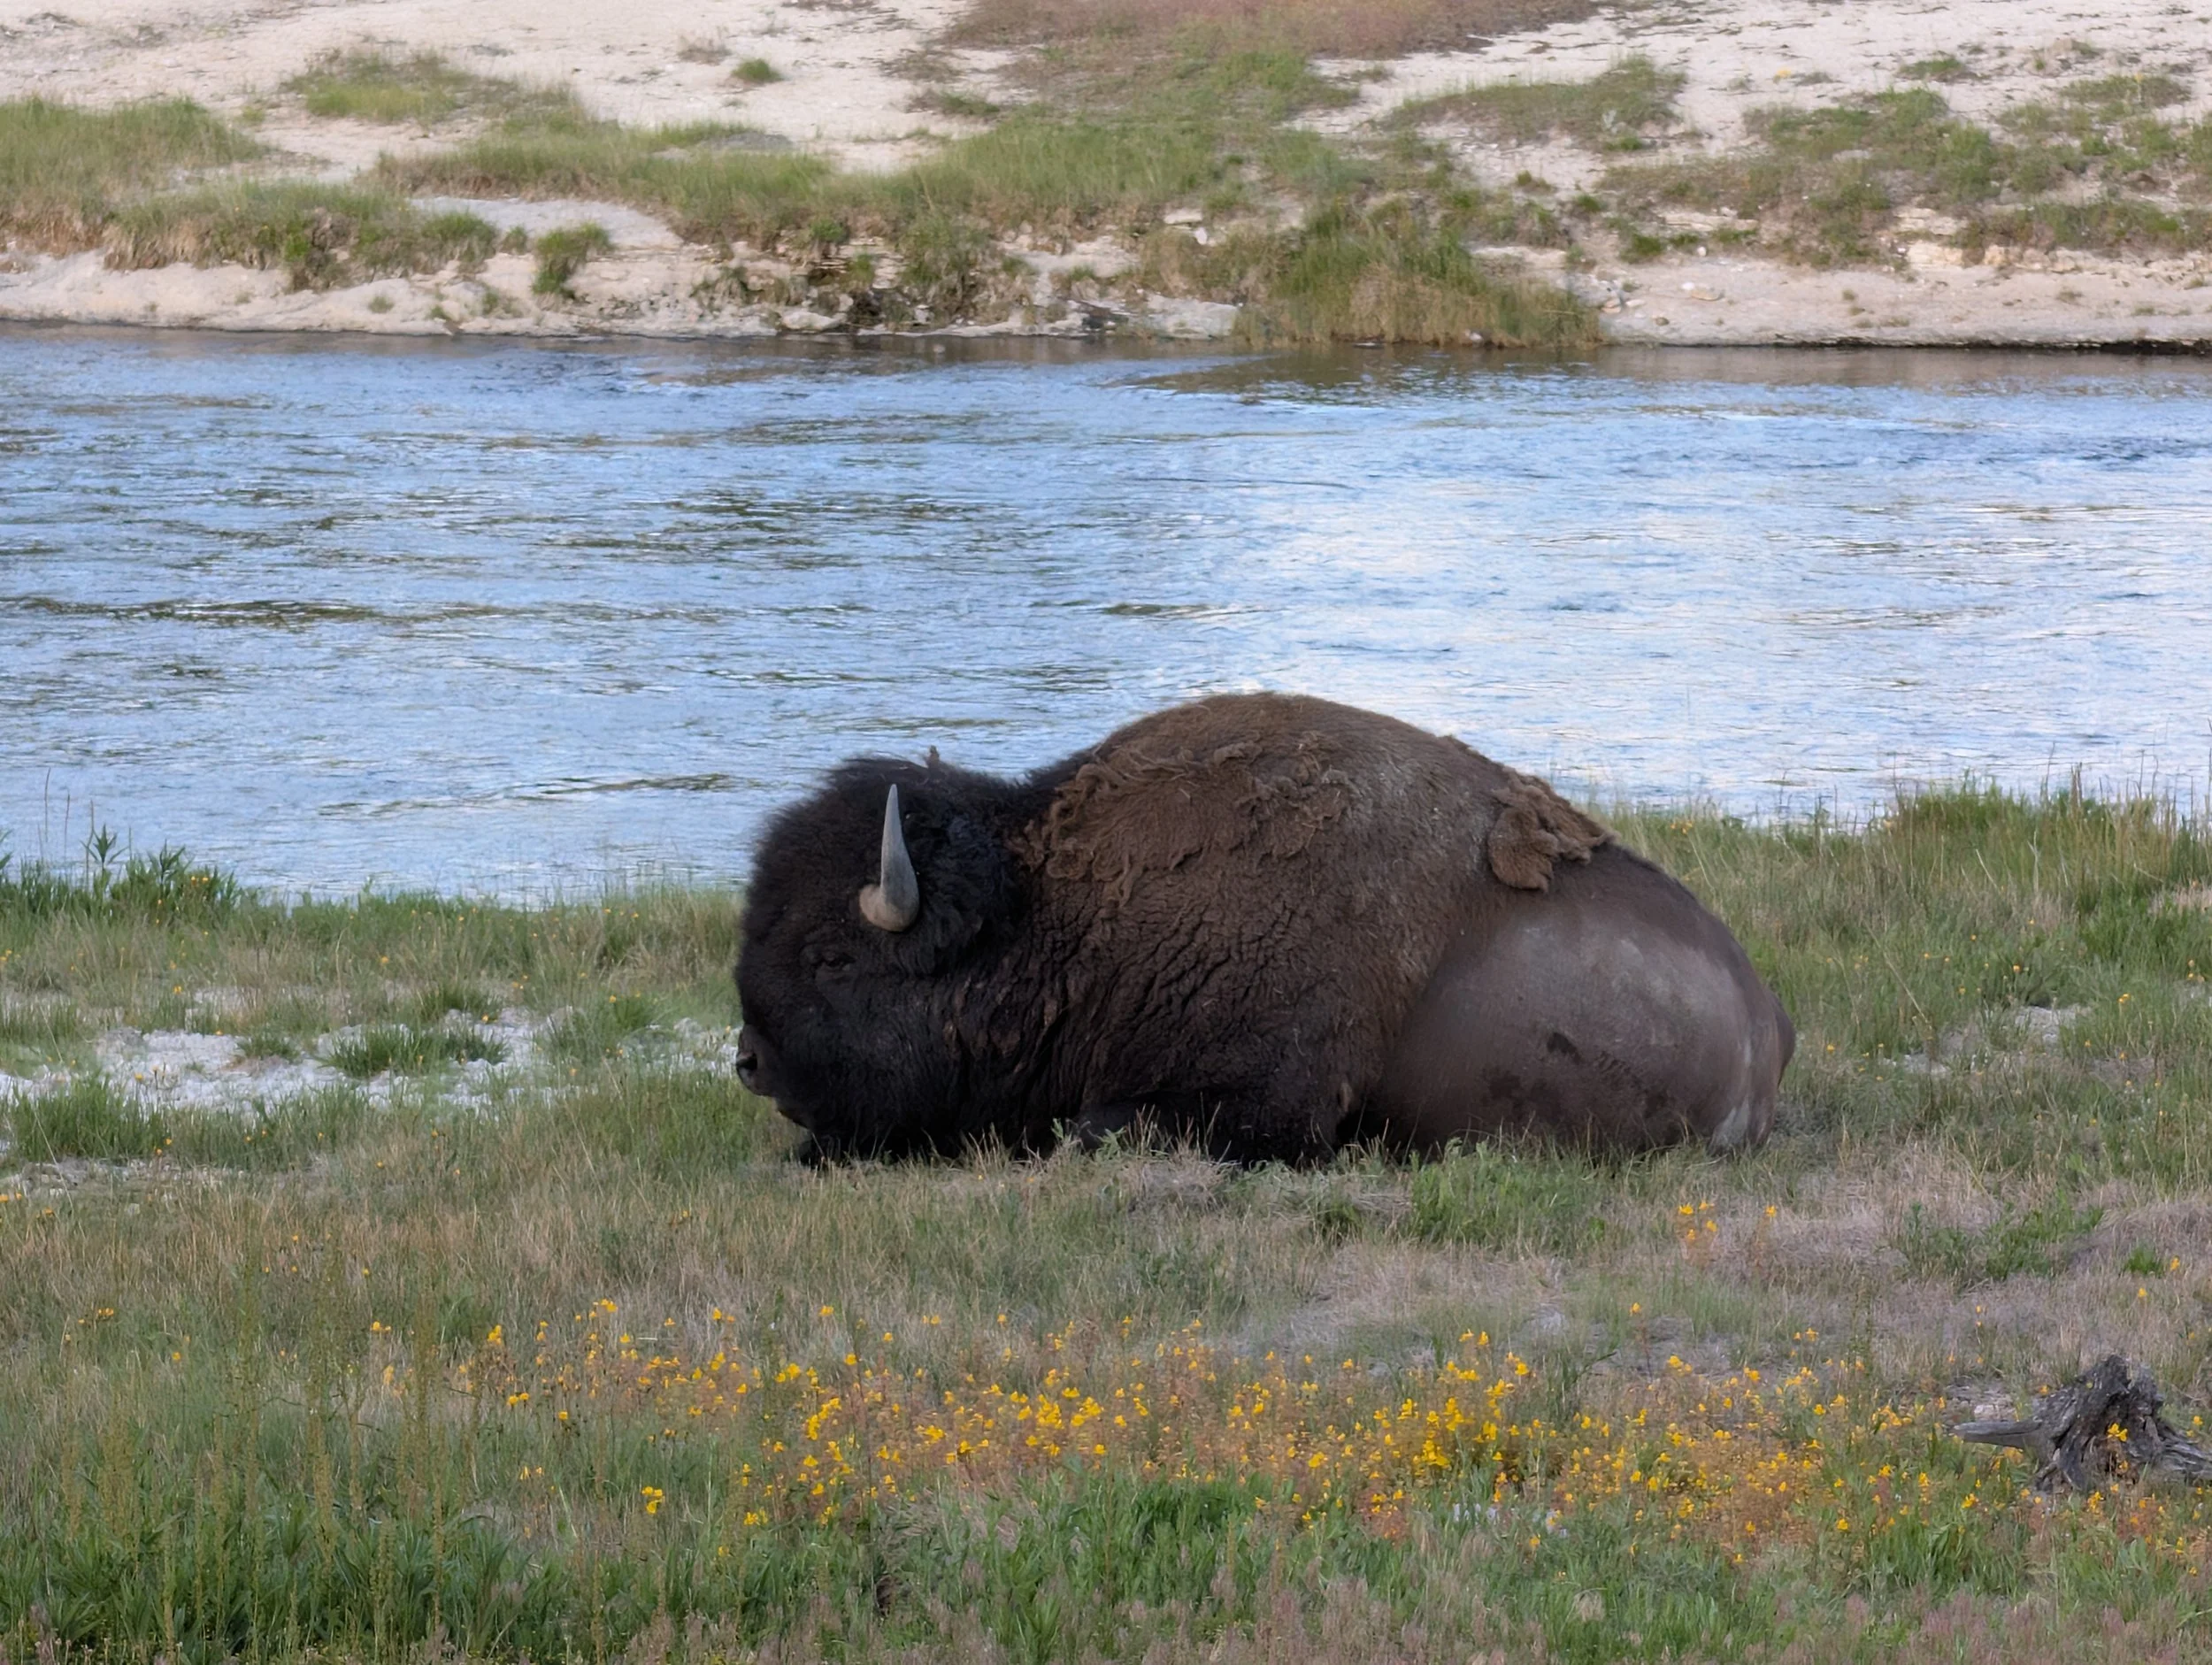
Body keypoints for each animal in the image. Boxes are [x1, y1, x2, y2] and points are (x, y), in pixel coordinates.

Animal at [734, 693, 1793, 1163]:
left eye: (831, 955)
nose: (749, 1061)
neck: (1059, 917)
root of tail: (1765, 1017)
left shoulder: (1263, 1104)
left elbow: (1088, 1130)